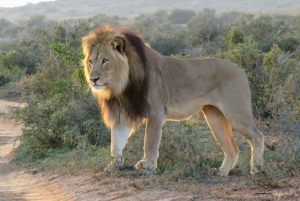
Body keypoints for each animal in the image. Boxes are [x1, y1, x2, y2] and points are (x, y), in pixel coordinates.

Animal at [82, 24, 268, 176]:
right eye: (90, 62)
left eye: (105, 60)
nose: (93, 80)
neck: (121, 85)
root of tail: (240, 68)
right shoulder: (122, 114)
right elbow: (116, 143)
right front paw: (115, 165)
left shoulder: (156, 112)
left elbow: (150, 141)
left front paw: (147, 165)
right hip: (214, 116)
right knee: (232, 149)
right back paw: (221, 172)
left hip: (236, 112)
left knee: (257, 136)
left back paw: (257, 169)